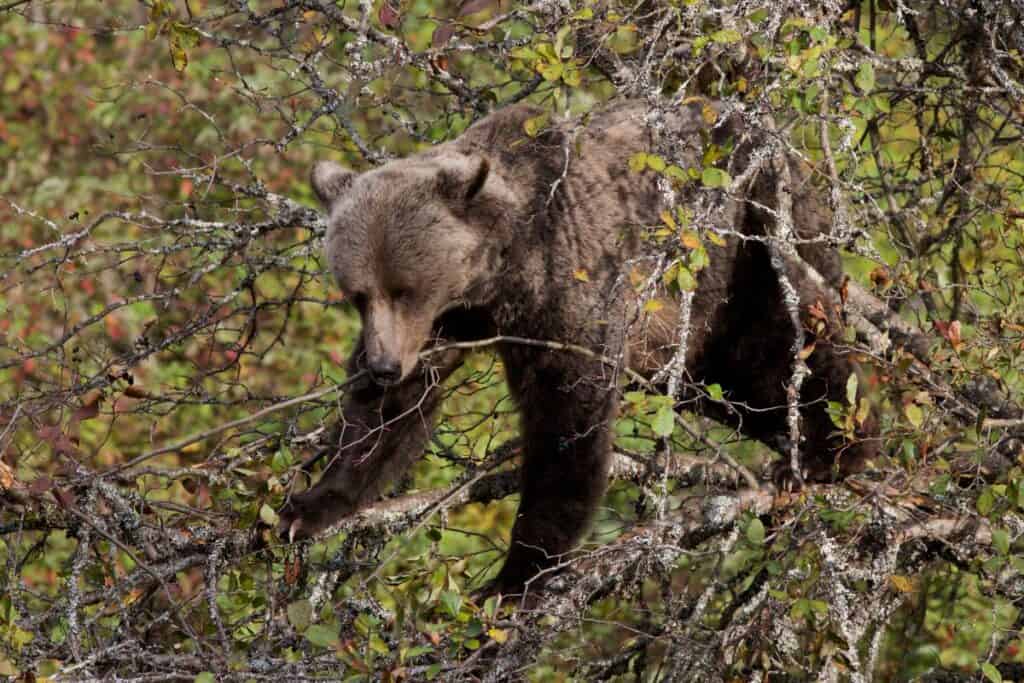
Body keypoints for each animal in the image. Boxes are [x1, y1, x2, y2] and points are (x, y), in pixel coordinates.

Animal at [277, 100, 878, 595]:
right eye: (358, 294)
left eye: (405, 288)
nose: (384, 365)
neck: (497, 277)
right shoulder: (448, 322)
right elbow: (390, 415)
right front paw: (309, 504)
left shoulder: (565, 279)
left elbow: (568, 416)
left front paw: (517, 572)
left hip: (744, 236)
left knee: (786, 333)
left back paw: (834, 448)